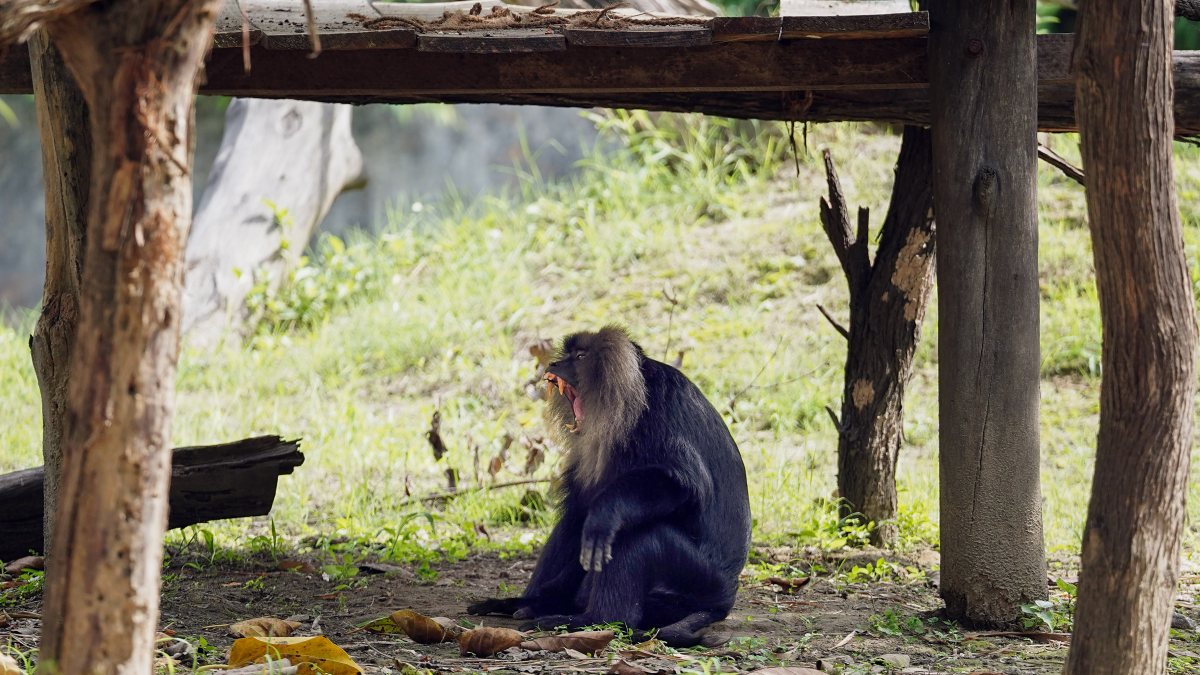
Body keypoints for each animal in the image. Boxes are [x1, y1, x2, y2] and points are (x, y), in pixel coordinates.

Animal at [468, 326, 751, 647]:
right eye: (566, 354)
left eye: (580, 357)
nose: (554, 365)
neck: (631, 396)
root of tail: (724, 599)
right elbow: (579, 508)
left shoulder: (658, 413)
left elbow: (682, 484)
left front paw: (606, 514)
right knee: (575, 522)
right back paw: (533, 604)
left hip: (696, 582)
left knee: (637, 534)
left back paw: (592, 620)